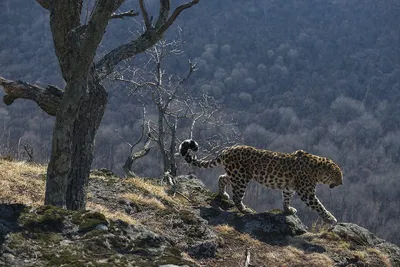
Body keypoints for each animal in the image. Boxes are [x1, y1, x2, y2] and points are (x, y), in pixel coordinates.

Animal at [180, 139, 342, 225]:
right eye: (338, 175)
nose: (341, 183)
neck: (317, 169)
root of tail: (227, 150)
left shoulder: (289, 188)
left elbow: (286, 198)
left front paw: (288, 209)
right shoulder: (306, 193)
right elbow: (319, 205)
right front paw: (330, 218)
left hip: (235, 175)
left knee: (222, 177)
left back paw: (222, 195)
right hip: (241, 178)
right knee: (237, 196)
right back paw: (245, 210)